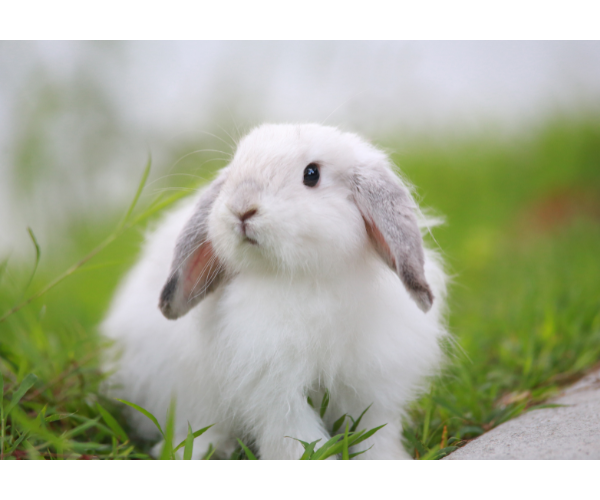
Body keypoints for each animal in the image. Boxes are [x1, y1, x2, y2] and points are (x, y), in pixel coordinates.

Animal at [101, 123, 448, 460]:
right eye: (235, 167)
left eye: (312, 174)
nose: (241, 209)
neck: (305, 277)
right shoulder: (276, 392)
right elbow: (296, 438)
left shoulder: (373, 386)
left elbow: (376, 433)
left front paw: (387, 460)